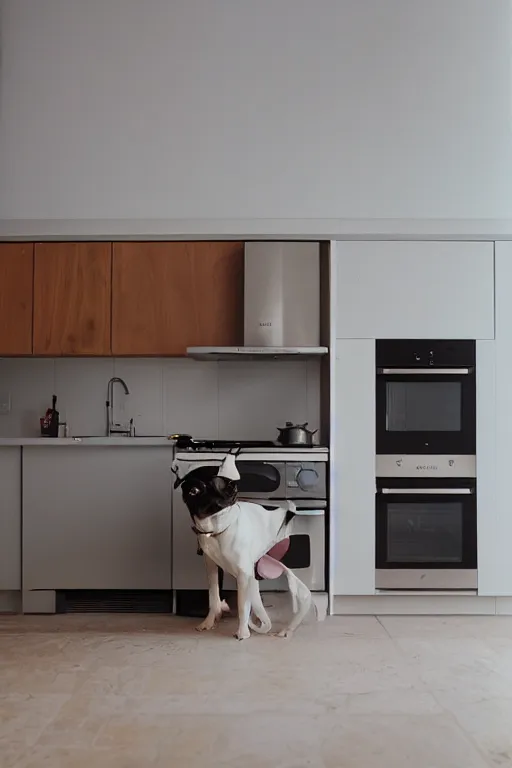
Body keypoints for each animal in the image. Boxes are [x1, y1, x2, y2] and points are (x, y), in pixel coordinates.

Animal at [173, 452, 312, 640]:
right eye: (194, 490)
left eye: (221, 480)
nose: (232, 485)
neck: (216, 528)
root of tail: (292, 514)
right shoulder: (212, 567)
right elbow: (213, 597)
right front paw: (208, 622)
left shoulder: (243, 574)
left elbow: (242, 605)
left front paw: (243, 632)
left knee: (304, 597)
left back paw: (287, 629)